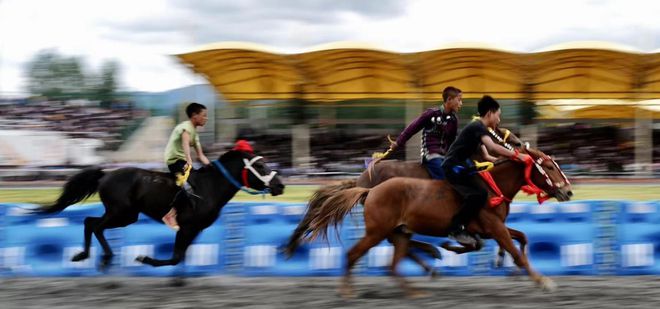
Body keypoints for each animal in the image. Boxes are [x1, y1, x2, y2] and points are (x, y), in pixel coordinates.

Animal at [36, 148, 284, 270]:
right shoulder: (186, 227)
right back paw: (104, 257)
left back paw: (84, 255)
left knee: (89, 221)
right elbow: (175, 258)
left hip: (125, 215)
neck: (210, 188)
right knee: (95, 226)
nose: (280, 185)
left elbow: (180, 257)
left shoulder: (194, 229)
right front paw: (145, 258)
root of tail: (105, 175)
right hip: (121, 213)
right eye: (261, 165)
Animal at [284, 126, 524, 274]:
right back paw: (430, 255)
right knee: (395, 239)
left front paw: (502, 256)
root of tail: (361, 180)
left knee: (398, 239)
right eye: (497, 132)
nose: (521, 143)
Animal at [304, 146, 572, 298]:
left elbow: (522, 238)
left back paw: (416, 289)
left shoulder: (493, 228)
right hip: (376, 232)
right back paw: (347, 291)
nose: (568, 191)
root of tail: (370, 189)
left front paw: (505, 264)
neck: (492, 186)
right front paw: (543, 281)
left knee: (394, 265)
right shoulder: (494, 227)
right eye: (549, 167)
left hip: (400, 232)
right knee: (353, 254)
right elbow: (516, 252)